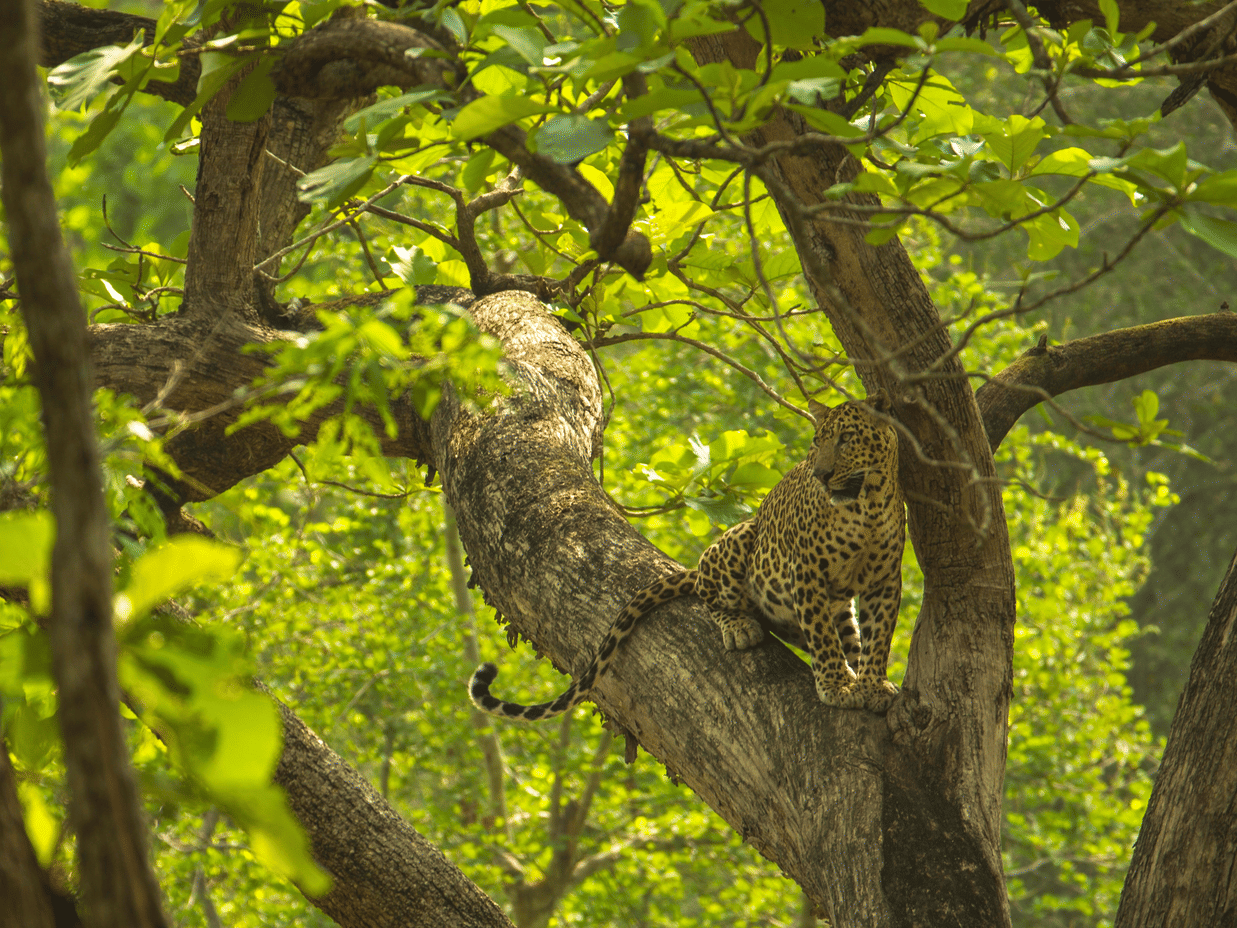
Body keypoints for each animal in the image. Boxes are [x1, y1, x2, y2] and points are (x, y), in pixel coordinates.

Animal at [469, 394, 906, 719]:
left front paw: (872, 684)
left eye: (847, 438)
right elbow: (822, 638)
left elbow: (878, 636)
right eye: (818, 442)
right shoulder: (807, 571)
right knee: (712, 593)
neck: (865, 504)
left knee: (845, 633)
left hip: (835, 602)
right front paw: (837, 687)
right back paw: (740, 627)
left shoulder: (885, 579)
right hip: (740, 541)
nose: (821, 474)